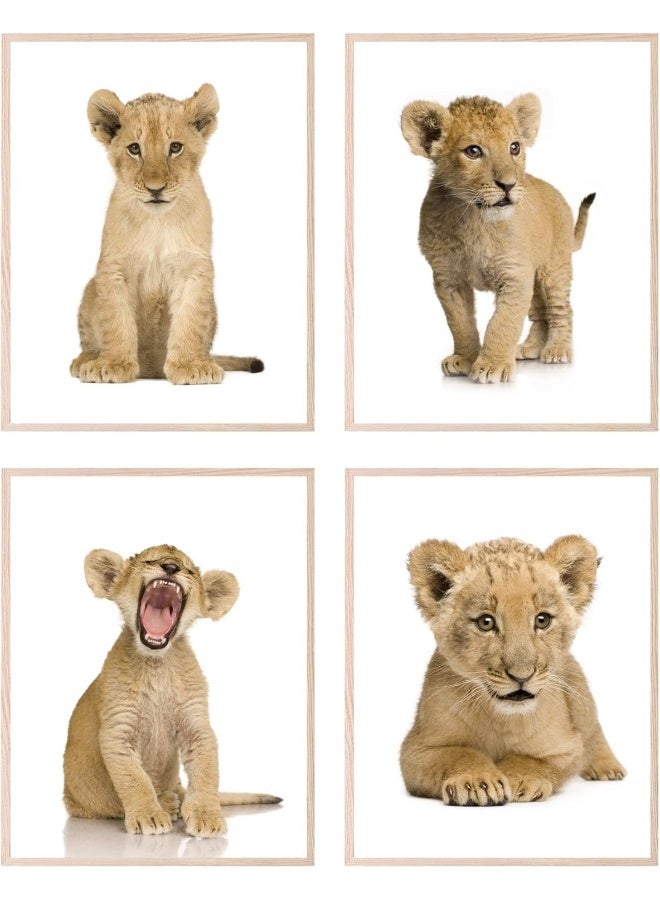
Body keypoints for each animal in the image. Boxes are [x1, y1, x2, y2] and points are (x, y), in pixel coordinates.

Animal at [63, 544, 281, 836]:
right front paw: (149, 816)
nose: (170, 567)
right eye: (150, 560)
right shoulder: (117, 730)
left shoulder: (196, 725)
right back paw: (167, 803)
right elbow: (134, 779)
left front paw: (207, 816)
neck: (157, 664)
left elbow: (207, 772)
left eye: (189, 569)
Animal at [70, 84, 263, 384]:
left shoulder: (193, 268)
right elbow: (115, 319)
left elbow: (191, 320)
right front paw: (112, 364)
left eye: (175, 147)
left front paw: (190, 366)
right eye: (134, 149)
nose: (155, 188)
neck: (157, 222)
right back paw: (86, 360)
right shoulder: (114, 268)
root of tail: (151, 370)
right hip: (91, 287)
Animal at [401, 93, 594, 383]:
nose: (509, 185)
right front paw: (465, 359)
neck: (474, 218)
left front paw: (493, 366)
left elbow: (503, 322)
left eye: (514, 147)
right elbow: (460, 323)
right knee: (539, 313)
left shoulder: (515, 275)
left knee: (560, 309)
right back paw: (529, 348)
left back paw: (557, 350)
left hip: (554, 268)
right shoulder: (448, 279)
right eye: (473, 151)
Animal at [401, 535, 625, 805]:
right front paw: (477, 782)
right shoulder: (416, 749)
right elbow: (458, 754)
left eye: (542, 620)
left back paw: (607, 767)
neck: (500, 717)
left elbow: (533, 760)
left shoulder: (565, 747)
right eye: (485, 622)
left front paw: (519, 779)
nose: (522, 676)